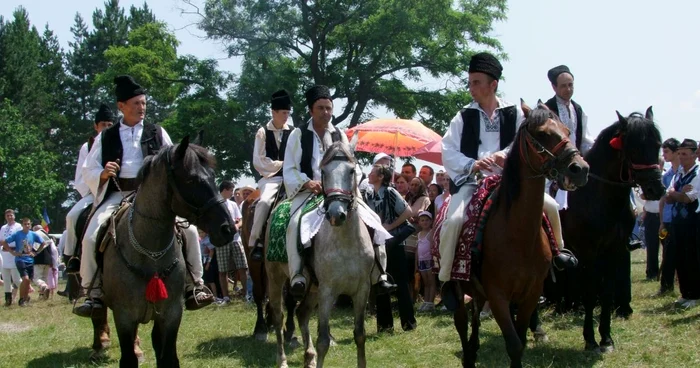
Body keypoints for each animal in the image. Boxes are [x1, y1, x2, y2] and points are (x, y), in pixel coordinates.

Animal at [99, 137, 235, 366]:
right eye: (191, 180)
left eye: (212, 177)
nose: (228, 229)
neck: (149, 253)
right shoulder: (124, 316)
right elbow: (128, 358)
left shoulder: (171, 314)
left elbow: (168, 357)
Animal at [266, 141, 378, 368]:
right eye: (324, 172)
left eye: (351, 171)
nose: (336, 214)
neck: (346, 244)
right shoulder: (328, 291)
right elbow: (323, 340)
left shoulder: (362, 290)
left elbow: (359, 334)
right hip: (275, 278)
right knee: (278, 316)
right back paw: (282, 360)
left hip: (313, 288)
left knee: (301, 313)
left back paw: (309, 357)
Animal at [452, 101, 588, 368]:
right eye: (543, 133)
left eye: (568, 131)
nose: (580, 169)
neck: (518, 235)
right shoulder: (498, 296)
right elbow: (514, 344)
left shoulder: (530, 294)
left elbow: (521, 341)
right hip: (455, 286)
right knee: (462, 321)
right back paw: (468, 356)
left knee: (475, 316)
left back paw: (474, 348)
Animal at [560, 108, 664, 352]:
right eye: (633, 148)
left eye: (657, 145)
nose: (656, 189)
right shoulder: (588, 252)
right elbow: (590, 292)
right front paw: (589, 339)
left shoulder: (615, 250)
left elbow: (607, 292)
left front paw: (606, 338)